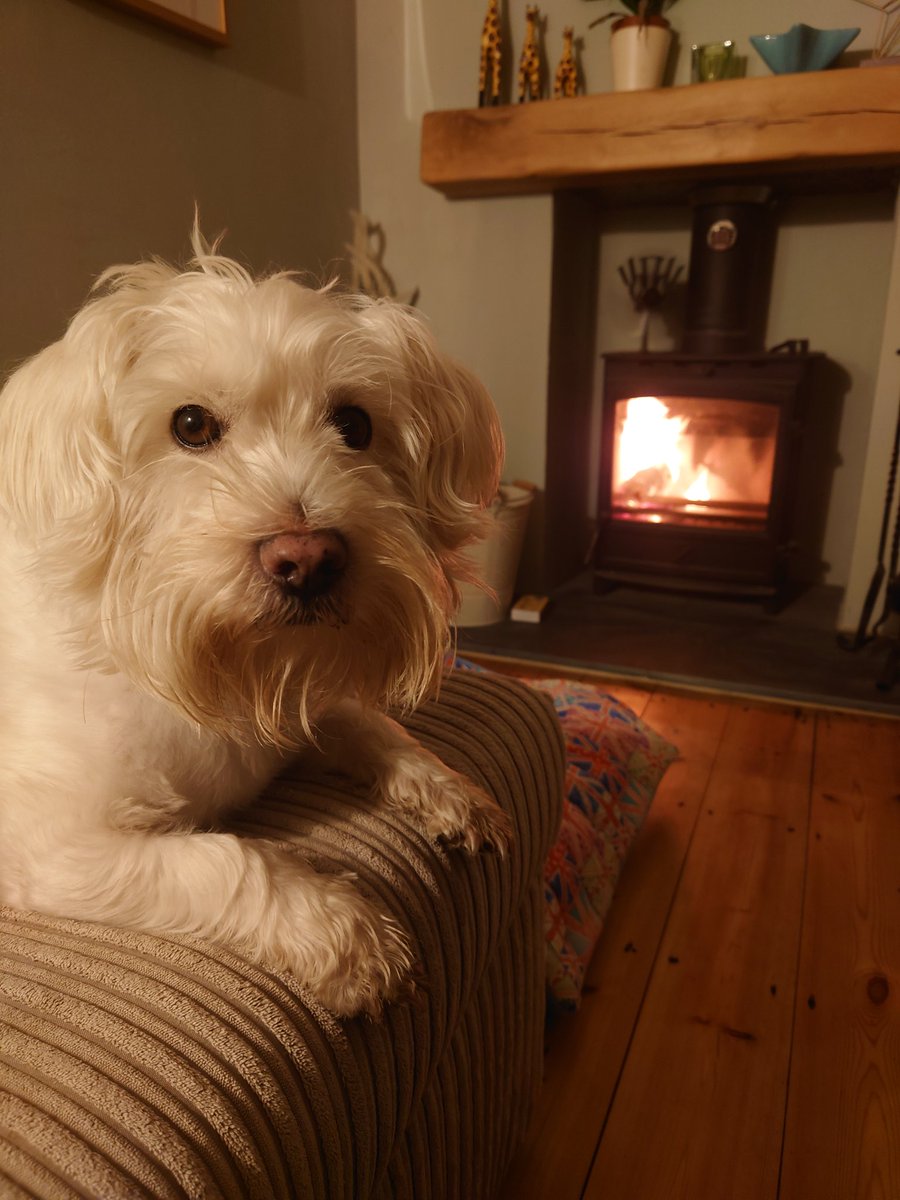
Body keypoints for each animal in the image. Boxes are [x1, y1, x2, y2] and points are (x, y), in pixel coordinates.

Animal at [0, 231, 508, 1012]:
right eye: (189, 424)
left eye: (355, 424)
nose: (309, 560)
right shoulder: (54, 845)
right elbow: (222, 860)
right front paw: (344, 932)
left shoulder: (306, 699)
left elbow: (373, 725)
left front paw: (446, 786)